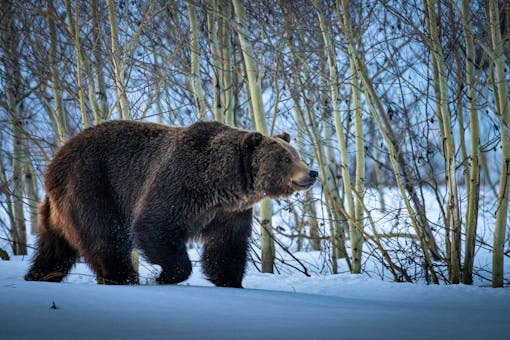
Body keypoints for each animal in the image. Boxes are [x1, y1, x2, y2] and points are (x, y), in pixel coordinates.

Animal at [25, 121, 318, 286]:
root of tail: (53, 164)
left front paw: (230, 281)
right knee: (106, 237)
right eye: (285, 158)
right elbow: (154, 225)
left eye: (296, 154)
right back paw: (123, 277)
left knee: (54, 247)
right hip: (91, 185)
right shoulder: (180, 183)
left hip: (58, 208)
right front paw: (166, 275)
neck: (223, 183)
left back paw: (39, 275)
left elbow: (227, 244)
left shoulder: (229, 212)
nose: (312, 172)